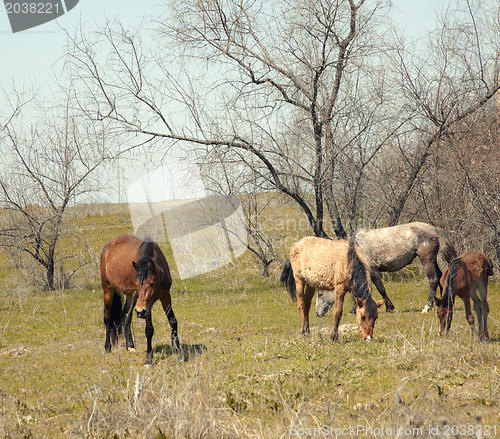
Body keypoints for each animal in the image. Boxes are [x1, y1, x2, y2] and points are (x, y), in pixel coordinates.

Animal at [100, 235, 181, 366]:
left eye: (152, 283)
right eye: (137, 283)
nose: (139, 311)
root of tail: (108, 245)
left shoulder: (165, 296)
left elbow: (173, 320)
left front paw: (177, 347)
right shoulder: (147, 305)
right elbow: (149, 330)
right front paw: (149, 358)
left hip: (131, 296)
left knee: (126, 315)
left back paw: (130, 346)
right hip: (108, 289)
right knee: (107, 317)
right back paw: (107, 347)